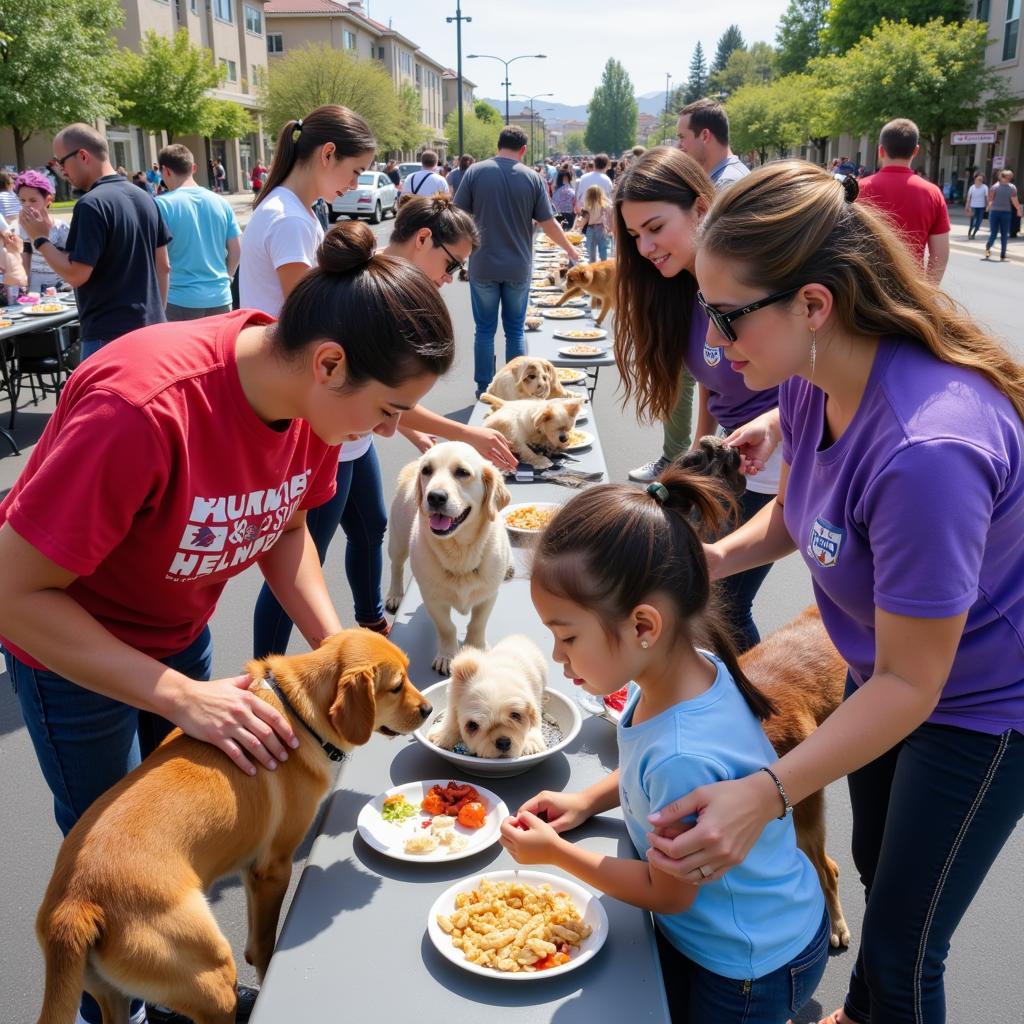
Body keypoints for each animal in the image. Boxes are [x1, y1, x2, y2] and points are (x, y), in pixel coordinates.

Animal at [385, 442, 512, 675]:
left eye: (462, 472)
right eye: (427, 470)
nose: (435, 496)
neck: (459, 550)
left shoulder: (489, 595)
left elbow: (477, 624)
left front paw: (475, 647)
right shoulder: (433, 600)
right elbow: (447, 627)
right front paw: (448, 655)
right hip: (397, 542)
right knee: (396, 566)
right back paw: (395, 595)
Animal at [428, 630, 548, 761]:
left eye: (516, 715)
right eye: (472, 725)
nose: (503, 742)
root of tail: (520, 637)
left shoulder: (535, 697)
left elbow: (535, 723)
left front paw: (531, 743)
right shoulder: (454, 696)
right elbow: (451, 719)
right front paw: (443, 736)